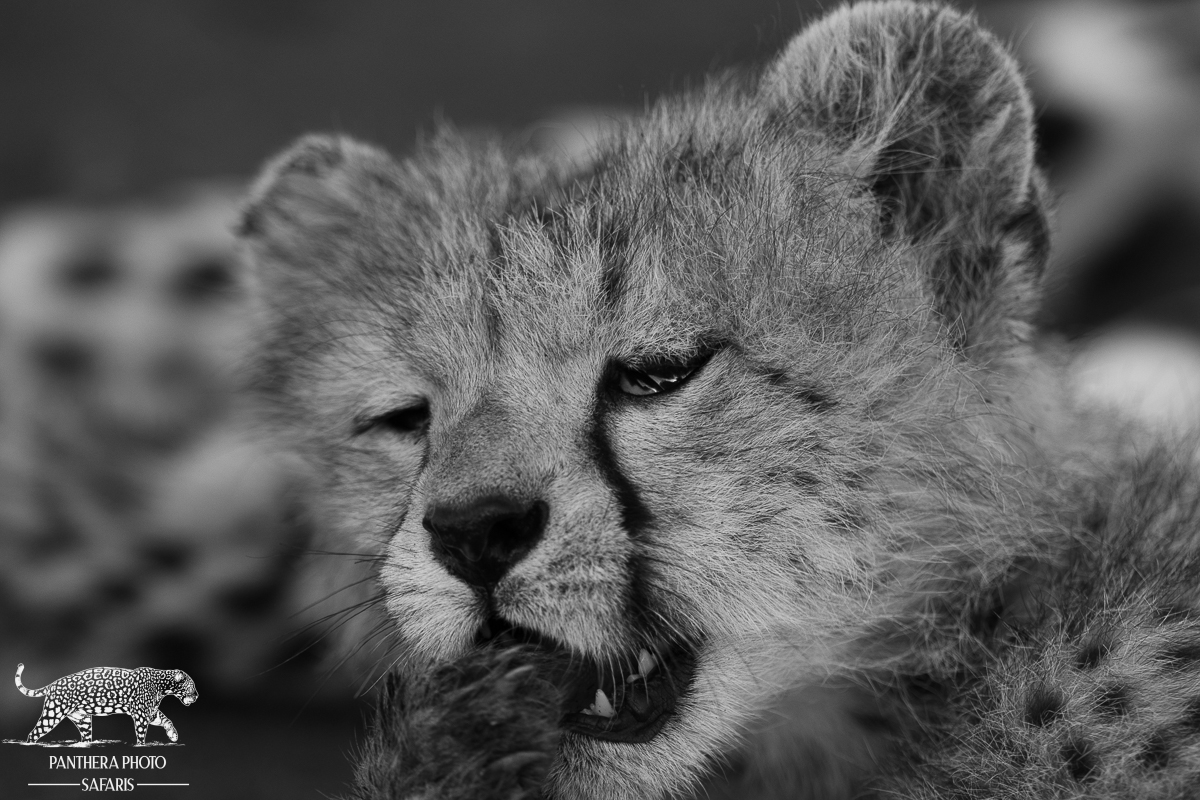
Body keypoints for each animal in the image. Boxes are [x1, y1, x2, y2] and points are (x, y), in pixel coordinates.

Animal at [15, 663, 198, 744]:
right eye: (192, 686)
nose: (197, 696)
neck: (161, 686)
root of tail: (51, 685)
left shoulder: (151, 713)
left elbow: (167, 719)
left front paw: (173, 735)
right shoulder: (141, 715)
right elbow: (141, 734)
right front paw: (142, 745)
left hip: (82, 720)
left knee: (85, 737)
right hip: (53, 713)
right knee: (34, 733)